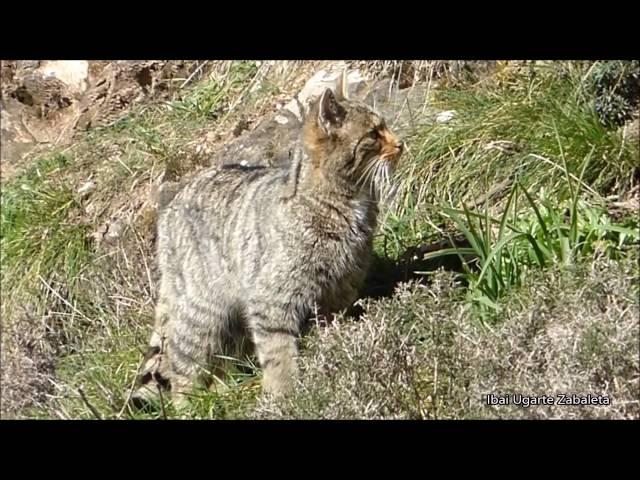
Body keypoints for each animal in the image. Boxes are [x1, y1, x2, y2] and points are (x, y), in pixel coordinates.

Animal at [130, 72, 404, 408]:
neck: (345, 198)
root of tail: (170, 208)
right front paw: (284, 394)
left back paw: (224, 388)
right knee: (180, 363)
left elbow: (331, 331)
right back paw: (190, 404)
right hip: (202, 311)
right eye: (374, 134)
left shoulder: (339, 291)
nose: (401, 144)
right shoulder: (272, 299)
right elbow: (279, 353)